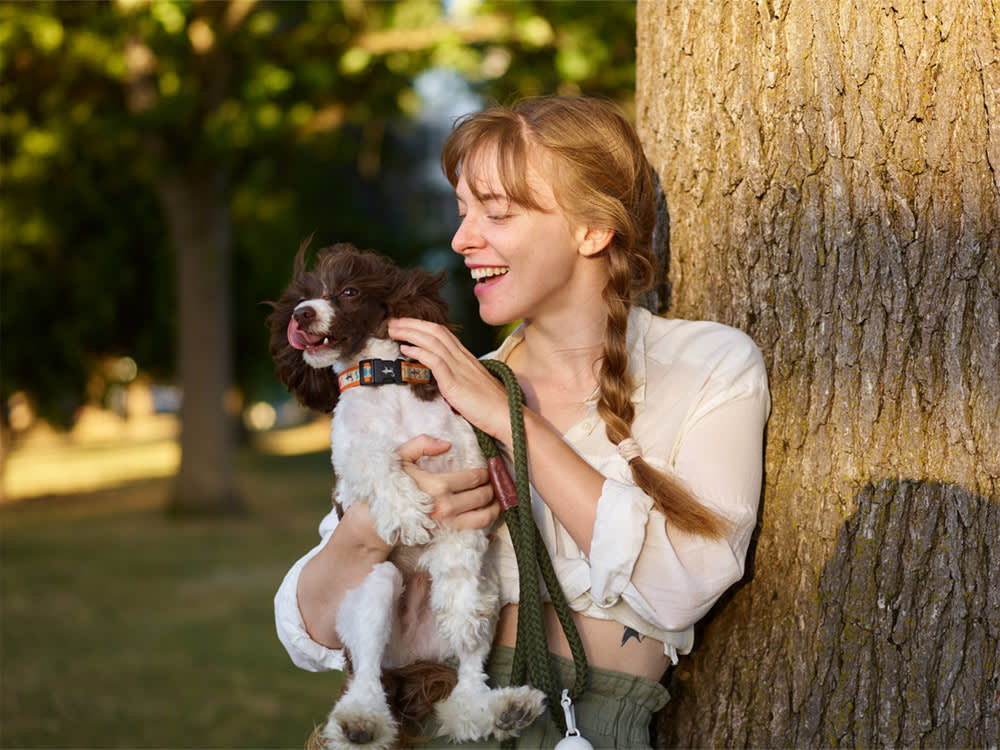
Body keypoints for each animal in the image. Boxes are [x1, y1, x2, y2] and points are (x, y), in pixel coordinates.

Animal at [268, 242, 548, 750]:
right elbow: (378, 460)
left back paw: (500, 709)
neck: (385, 382)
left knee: (466, 685)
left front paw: (458, 605)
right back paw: (360, 722)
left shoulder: (468, 478)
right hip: (374, 587)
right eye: (301, 296)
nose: (301, 315)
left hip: (490, 592)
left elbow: (458, 567)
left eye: (348, 291)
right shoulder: (350, 466)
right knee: (365, 678)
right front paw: (407, 515)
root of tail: (411, 662)